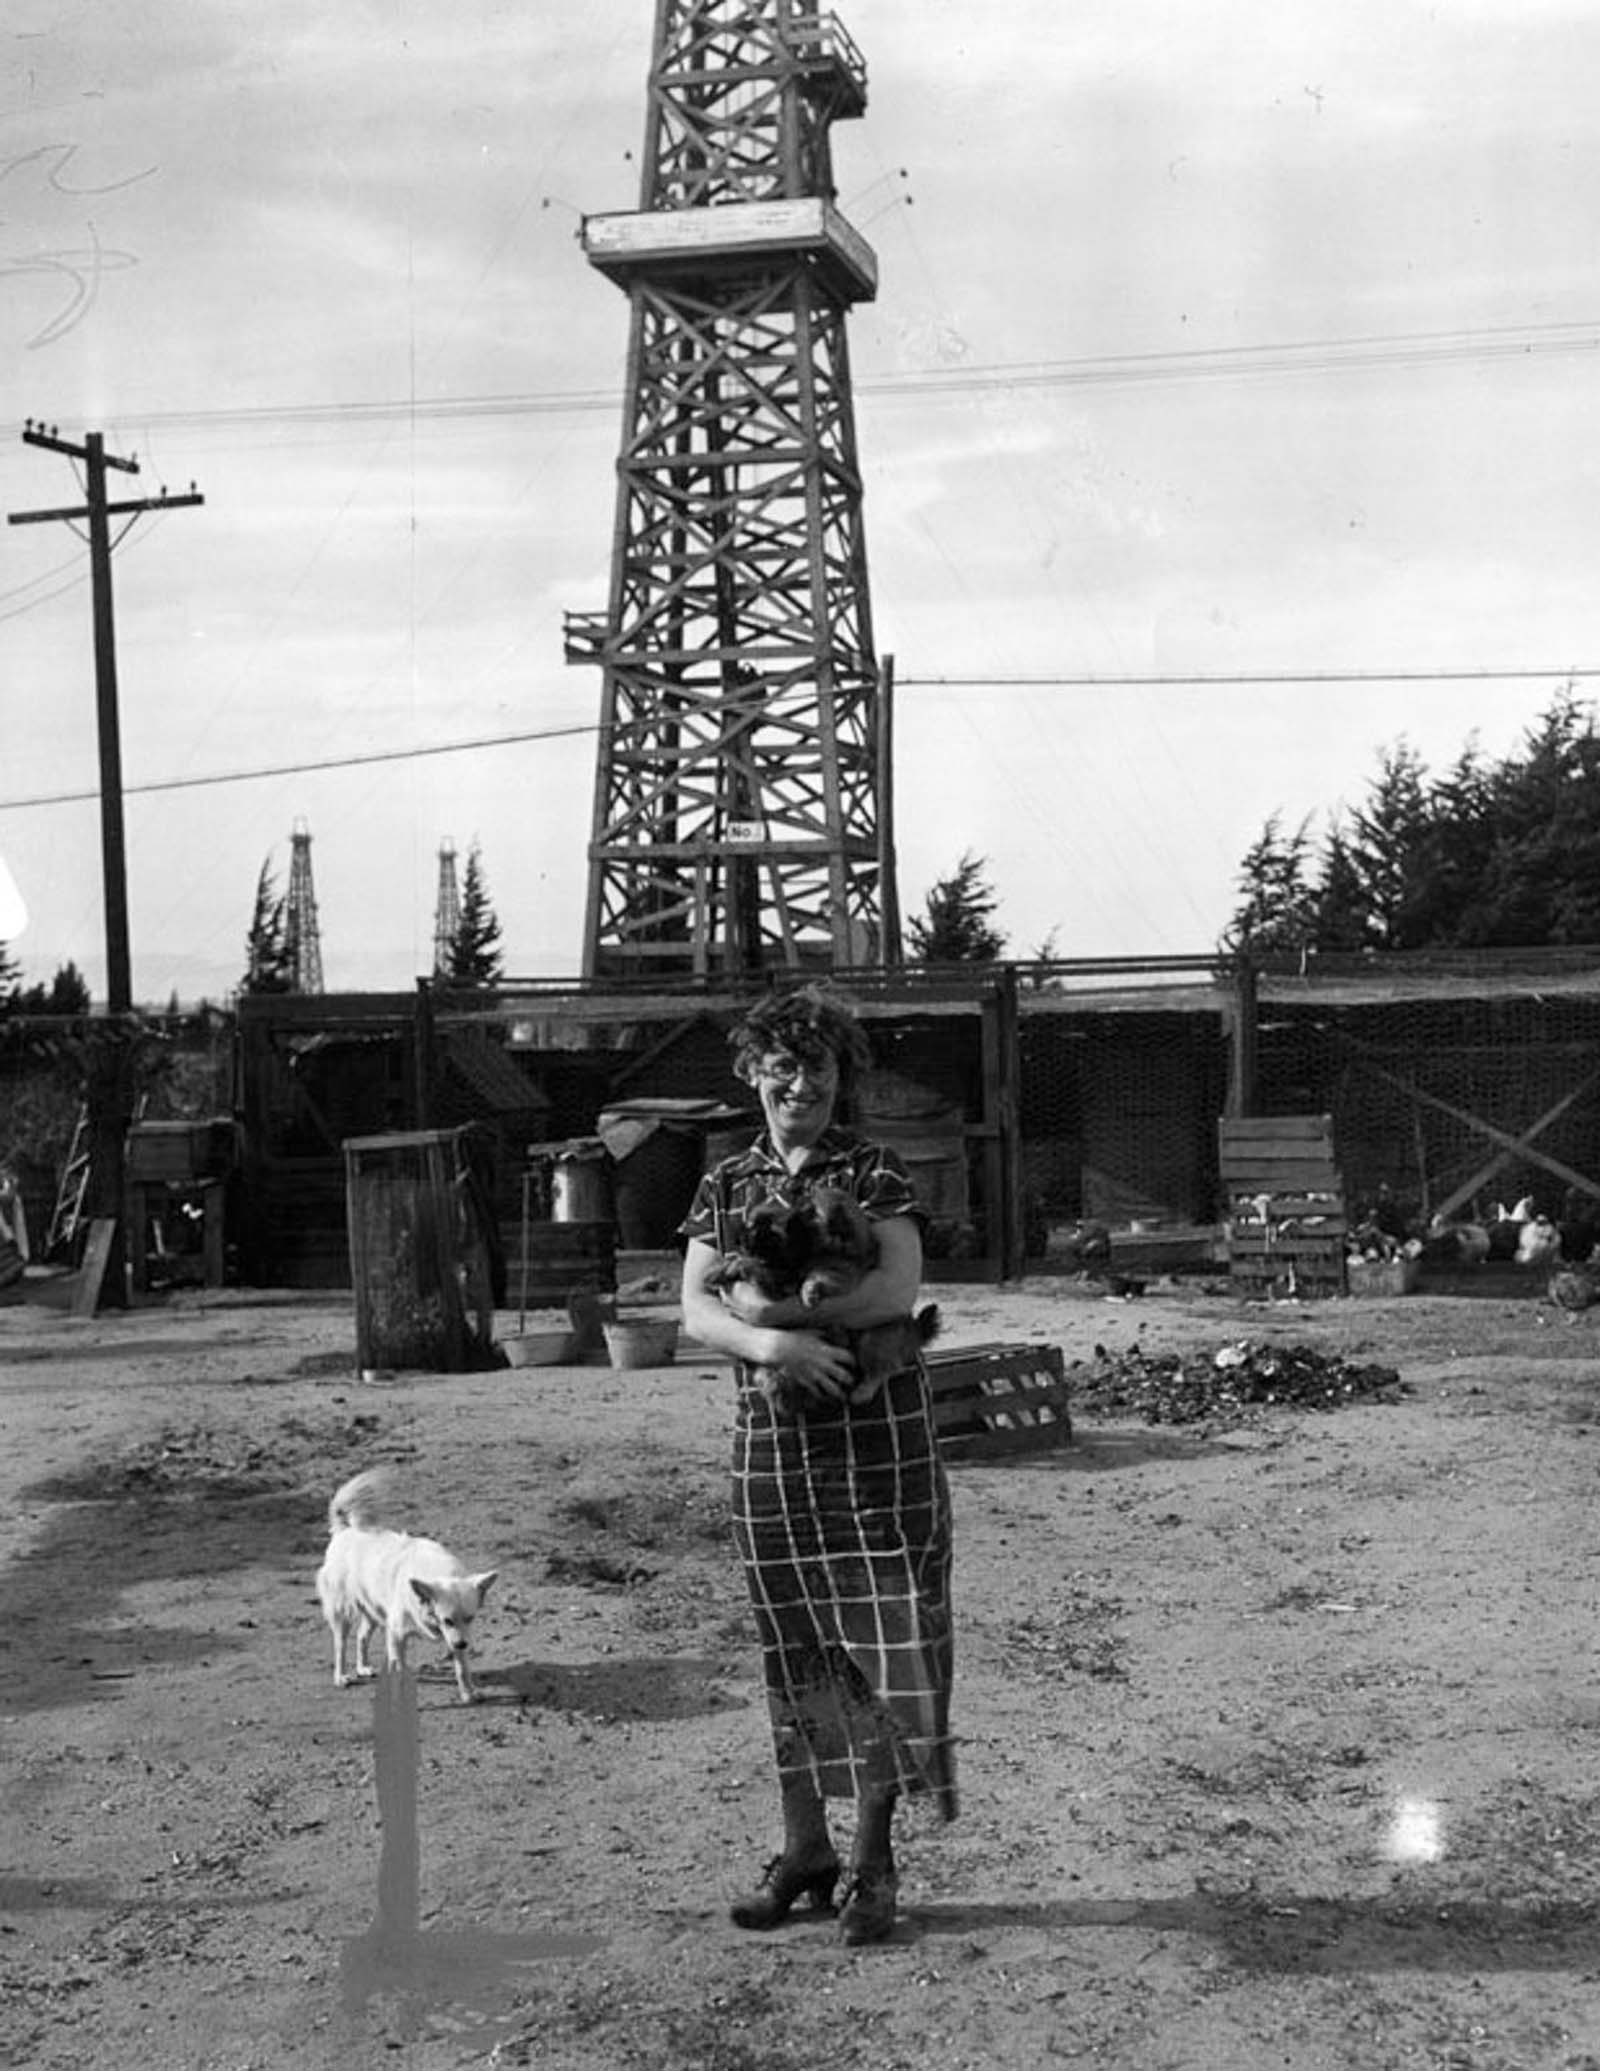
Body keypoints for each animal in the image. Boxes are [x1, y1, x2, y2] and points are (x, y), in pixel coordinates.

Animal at [314, 1466, 496, 1706]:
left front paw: (468, 1693)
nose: (462, 1645)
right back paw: (341, 1676)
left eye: (471, 1618)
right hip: (343, 1612)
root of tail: (345, 1530)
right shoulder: (397, 1635)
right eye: (446, 1620)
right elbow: (398, 1670)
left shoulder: (458, 1636)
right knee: (340, 1646)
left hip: (374, 1611)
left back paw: (363, 1667)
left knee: (362, 1636)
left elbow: (462, 1668)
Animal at [707, 1192, 935, 1416]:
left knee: (880, 1368)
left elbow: (763, 1266)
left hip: (877, 1338)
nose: (739, 1238)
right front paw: (721, 1269)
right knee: (772, 1378)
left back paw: (862, 1390)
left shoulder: (816, 1276)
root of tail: (914, 1333)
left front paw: (809, 1290)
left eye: (757, 1229)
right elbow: (750, 1263)